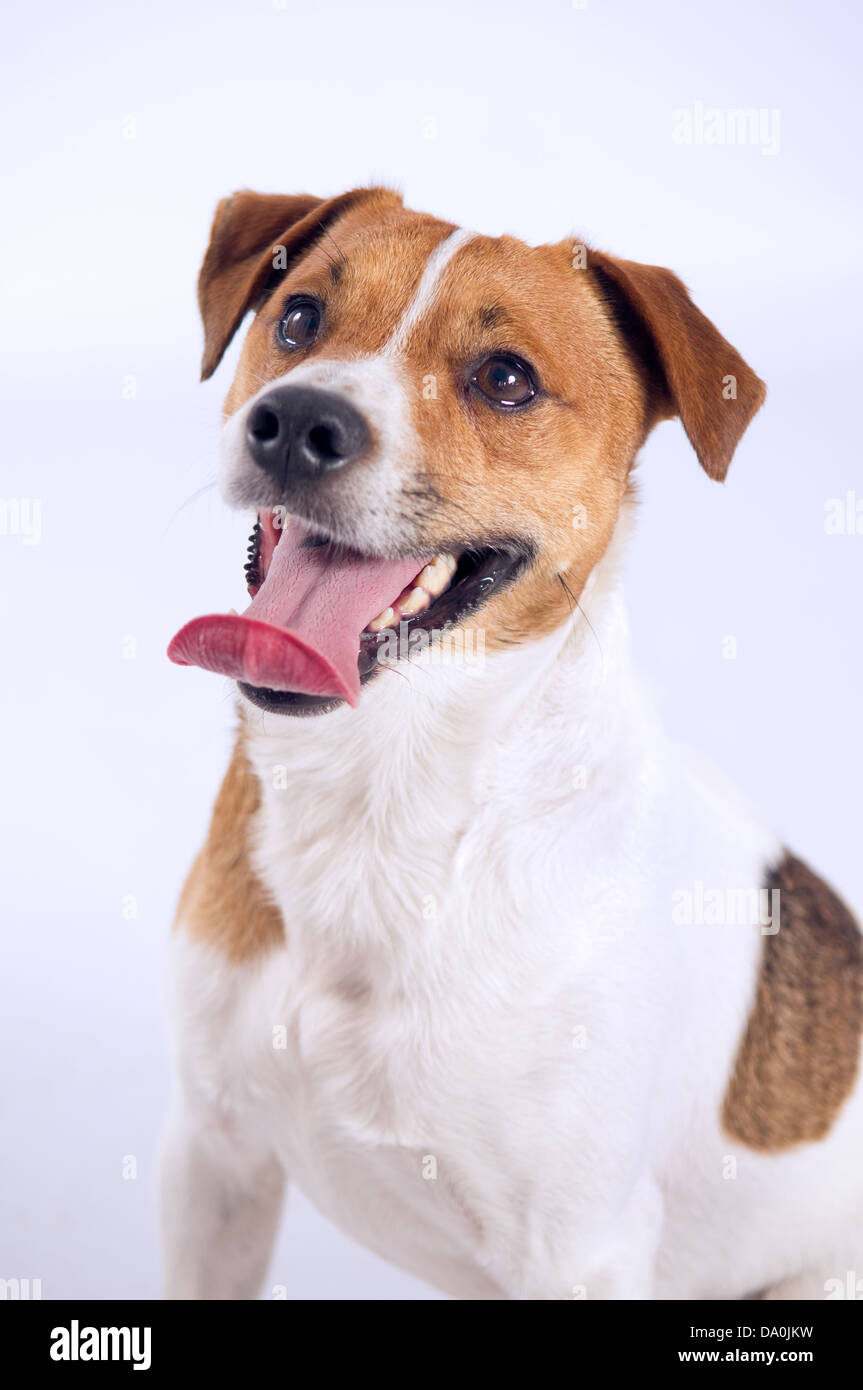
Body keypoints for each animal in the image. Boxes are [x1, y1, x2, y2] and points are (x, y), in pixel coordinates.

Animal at [161, 187, 861, 1301]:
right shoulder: (213, 1157)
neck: (382, 798)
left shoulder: (579, 1251)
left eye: (504, 379)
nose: (301, 422)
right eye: (301, 316)